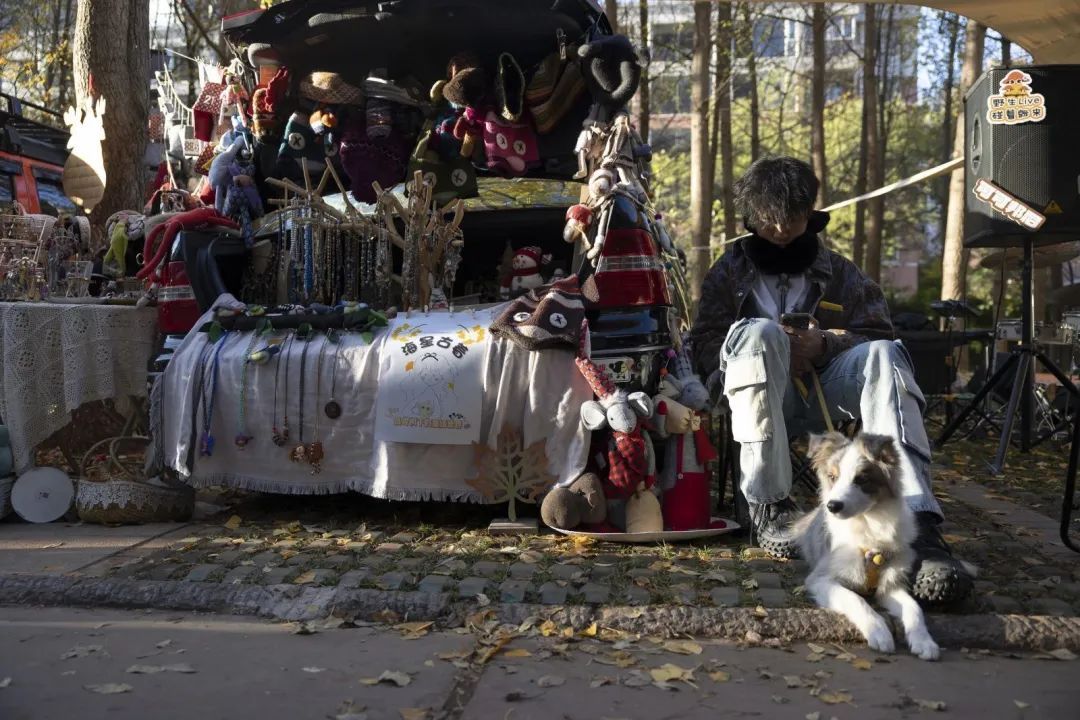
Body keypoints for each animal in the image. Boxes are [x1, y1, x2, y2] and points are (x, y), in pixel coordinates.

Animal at [794, 431, 946, 660]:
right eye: (832, 477)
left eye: (861, 479)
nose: (832, 506)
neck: (869, 525)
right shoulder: (820, 579)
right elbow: (856, 599)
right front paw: (879, 632)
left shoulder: (889, 584)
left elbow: (914, 608)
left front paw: (924, 641)